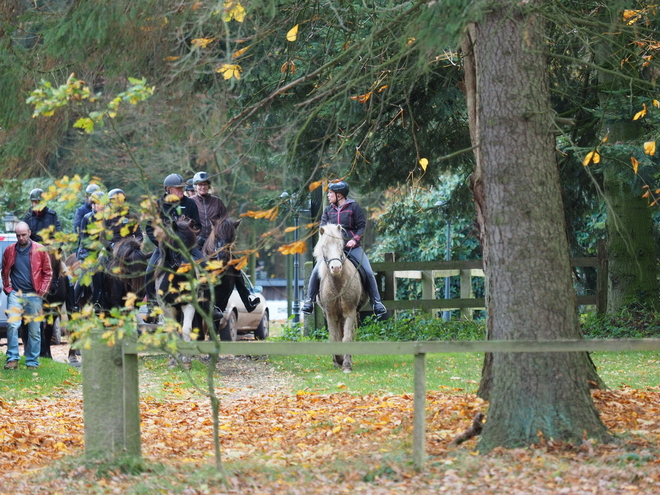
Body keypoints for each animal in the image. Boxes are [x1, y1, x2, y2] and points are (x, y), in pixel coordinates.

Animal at [314, 224, 368, 372]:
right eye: (324, 246)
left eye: (340, 245)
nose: (336, 267)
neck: (338, 284)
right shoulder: (330, 314)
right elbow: (334, 338)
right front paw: (337, 359)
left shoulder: (349, 312)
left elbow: (347, 337)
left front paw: (346, 364)